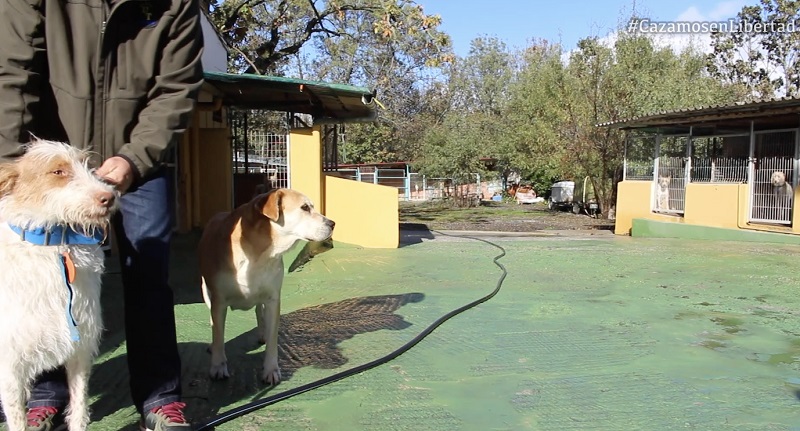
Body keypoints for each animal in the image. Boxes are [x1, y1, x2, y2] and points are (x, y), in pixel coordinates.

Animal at [0, 140, 119, 430]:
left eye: (87, 164)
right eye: (58, 172)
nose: (109, 197)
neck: (54, 246)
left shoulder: (80, 349)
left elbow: (78, 409)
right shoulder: (9, 365)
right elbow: (17, 418)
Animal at [202, 191, 336, 386]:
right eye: (305, 207)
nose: (332, 223)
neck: (258, 254)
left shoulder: (273, 299)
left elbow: (273, 339)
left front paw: (271, 369)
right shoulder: (218, 302)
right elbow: (218, 334)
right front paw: (218, 366)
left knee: (259, 310)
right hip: (205, 291)